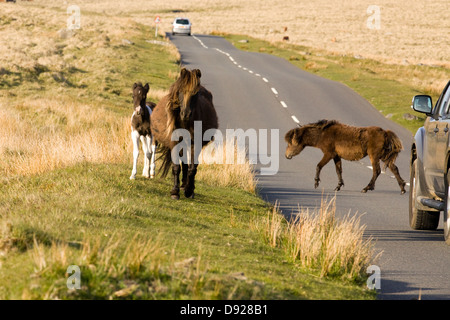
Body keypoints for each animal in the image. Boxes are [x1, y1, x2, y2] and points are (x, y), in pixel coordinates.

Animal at [150, 67, 219, 199]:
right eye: (180, 91)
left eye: (195, 93)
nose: (185, 114)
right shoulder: (175, 142)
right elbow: (177, 166)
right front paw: (175, 191)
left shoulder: (195, 144)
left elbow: (193, 168)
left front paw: (189, 190)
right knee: (184, 162)